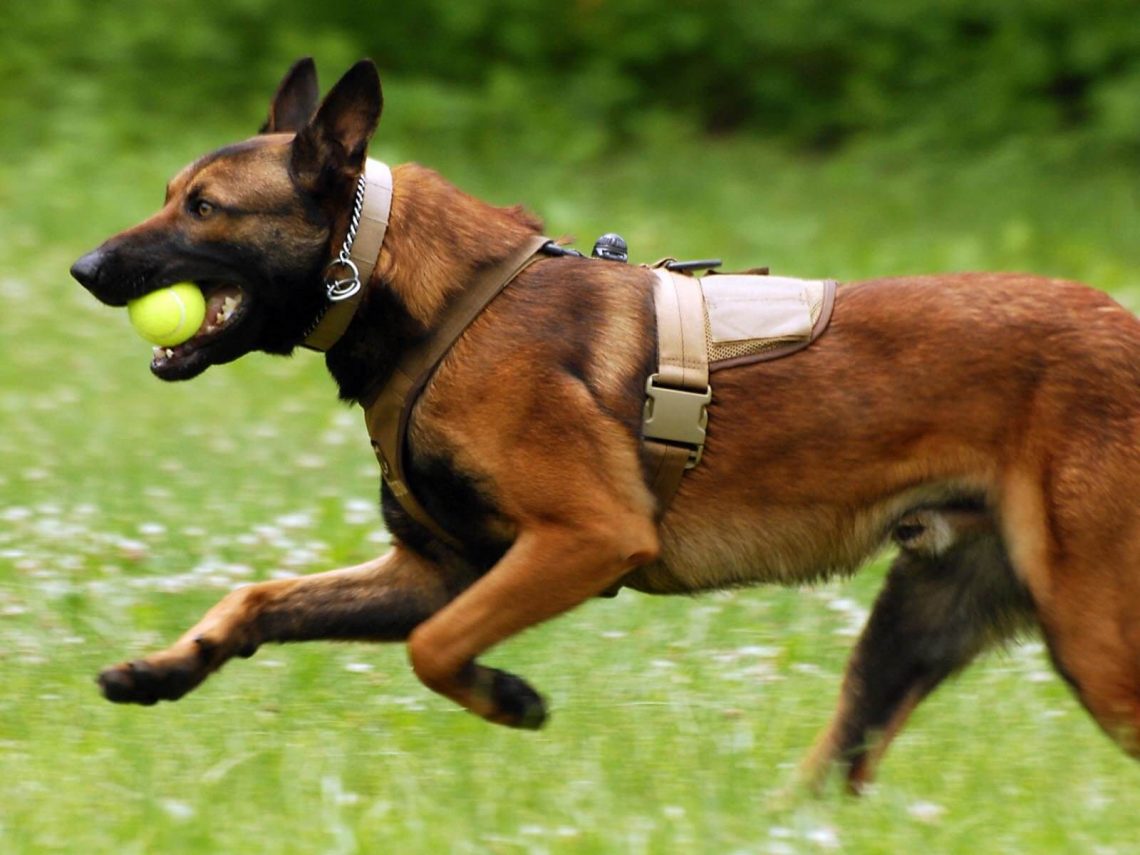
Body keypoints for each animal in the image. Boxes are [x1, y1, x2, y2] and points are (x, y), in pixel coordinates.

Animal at [68, 60, 1140, 793]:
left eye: (205, 208)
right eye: (168, 196)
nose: (83, 267)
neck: (425, 293)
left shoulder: (583, 539)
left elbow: (435, 649)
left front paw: (508, 698)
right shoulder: (438, 569)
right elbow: (260, 597)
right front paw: (166, 668)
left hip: (1092, 639)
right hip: (914, 627)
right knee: (839, 768)